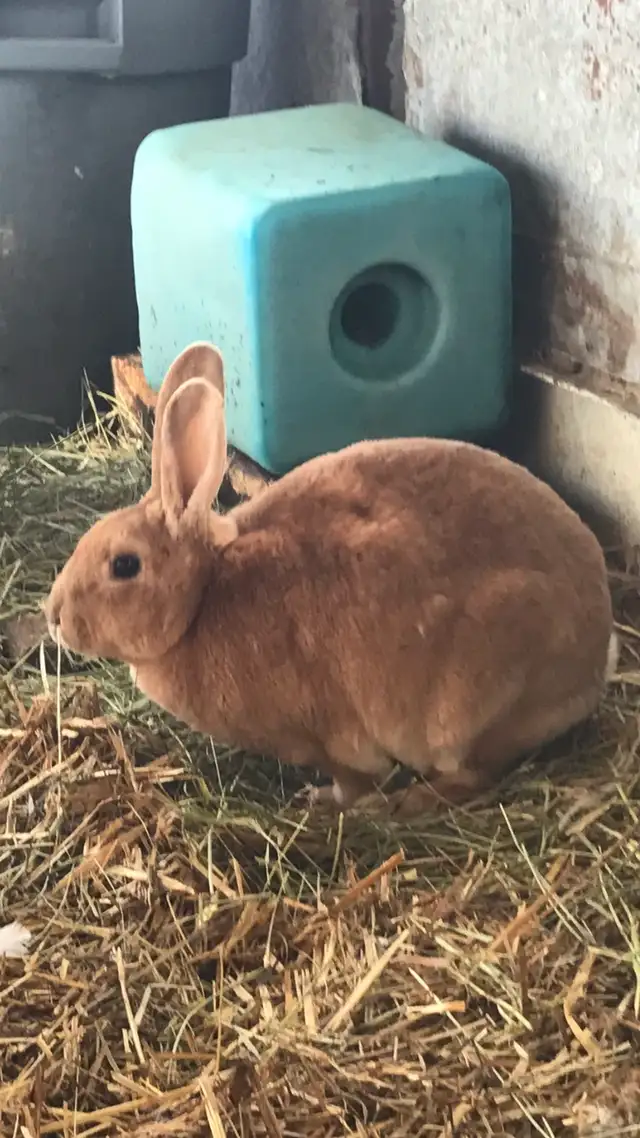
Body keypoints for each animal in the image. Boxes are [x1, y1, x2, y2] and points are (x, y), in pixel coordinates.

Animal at [45, 342, 617, 815]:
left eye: (124, 565)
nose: (53, 617)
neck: (202, 597)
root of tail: (595, 658)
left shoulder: (323, 737)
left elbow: (352, 776)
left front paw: (325, 801)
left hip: (474, 697)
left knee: (474, 775)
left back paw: (408, 803)